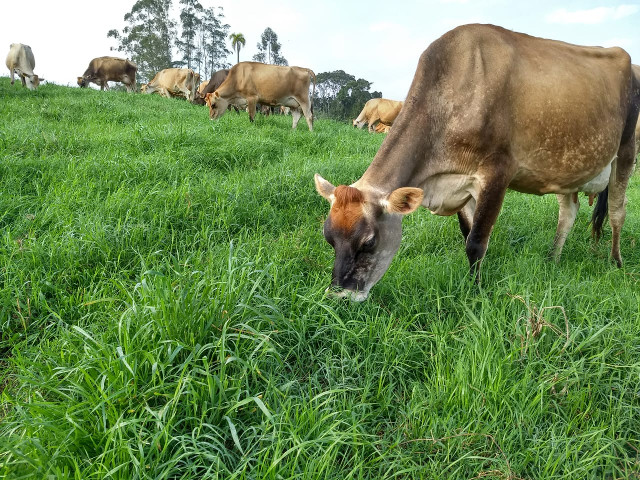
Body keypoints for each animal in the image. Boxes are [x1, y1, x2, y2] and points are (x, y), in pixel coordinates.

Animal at [316, 25, 640, 300]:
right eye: (328, 238)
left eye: (369, 242)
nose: (339, 296)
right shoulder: (463, 182)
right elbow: (467, 234)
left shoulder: (497, 173)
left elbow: (476, 241)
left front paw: (475, 292)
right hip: (568, 168)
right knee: (569, 212)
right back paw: (553, 259)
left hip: (626, 150)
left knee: (616, 212)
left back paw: (616, 262)